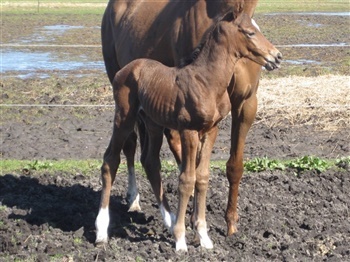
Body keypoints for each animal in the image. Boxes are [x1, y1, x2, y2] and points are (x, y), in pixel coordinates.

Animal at [97, 11, 284, 251]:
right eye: (250, 32)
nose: (276, 56)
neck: (206, 81)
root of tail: (124, 70)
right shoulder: (189, 131)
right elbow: (186, 179)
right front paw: (180, 239)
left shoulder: (211, 130)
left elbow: (202, 177)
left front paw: (203, 236)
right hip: (124, 118)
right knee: (110, 160)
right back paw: (102, 230)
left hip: (153, 123)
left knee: (150, 162)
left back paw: (168, 220)